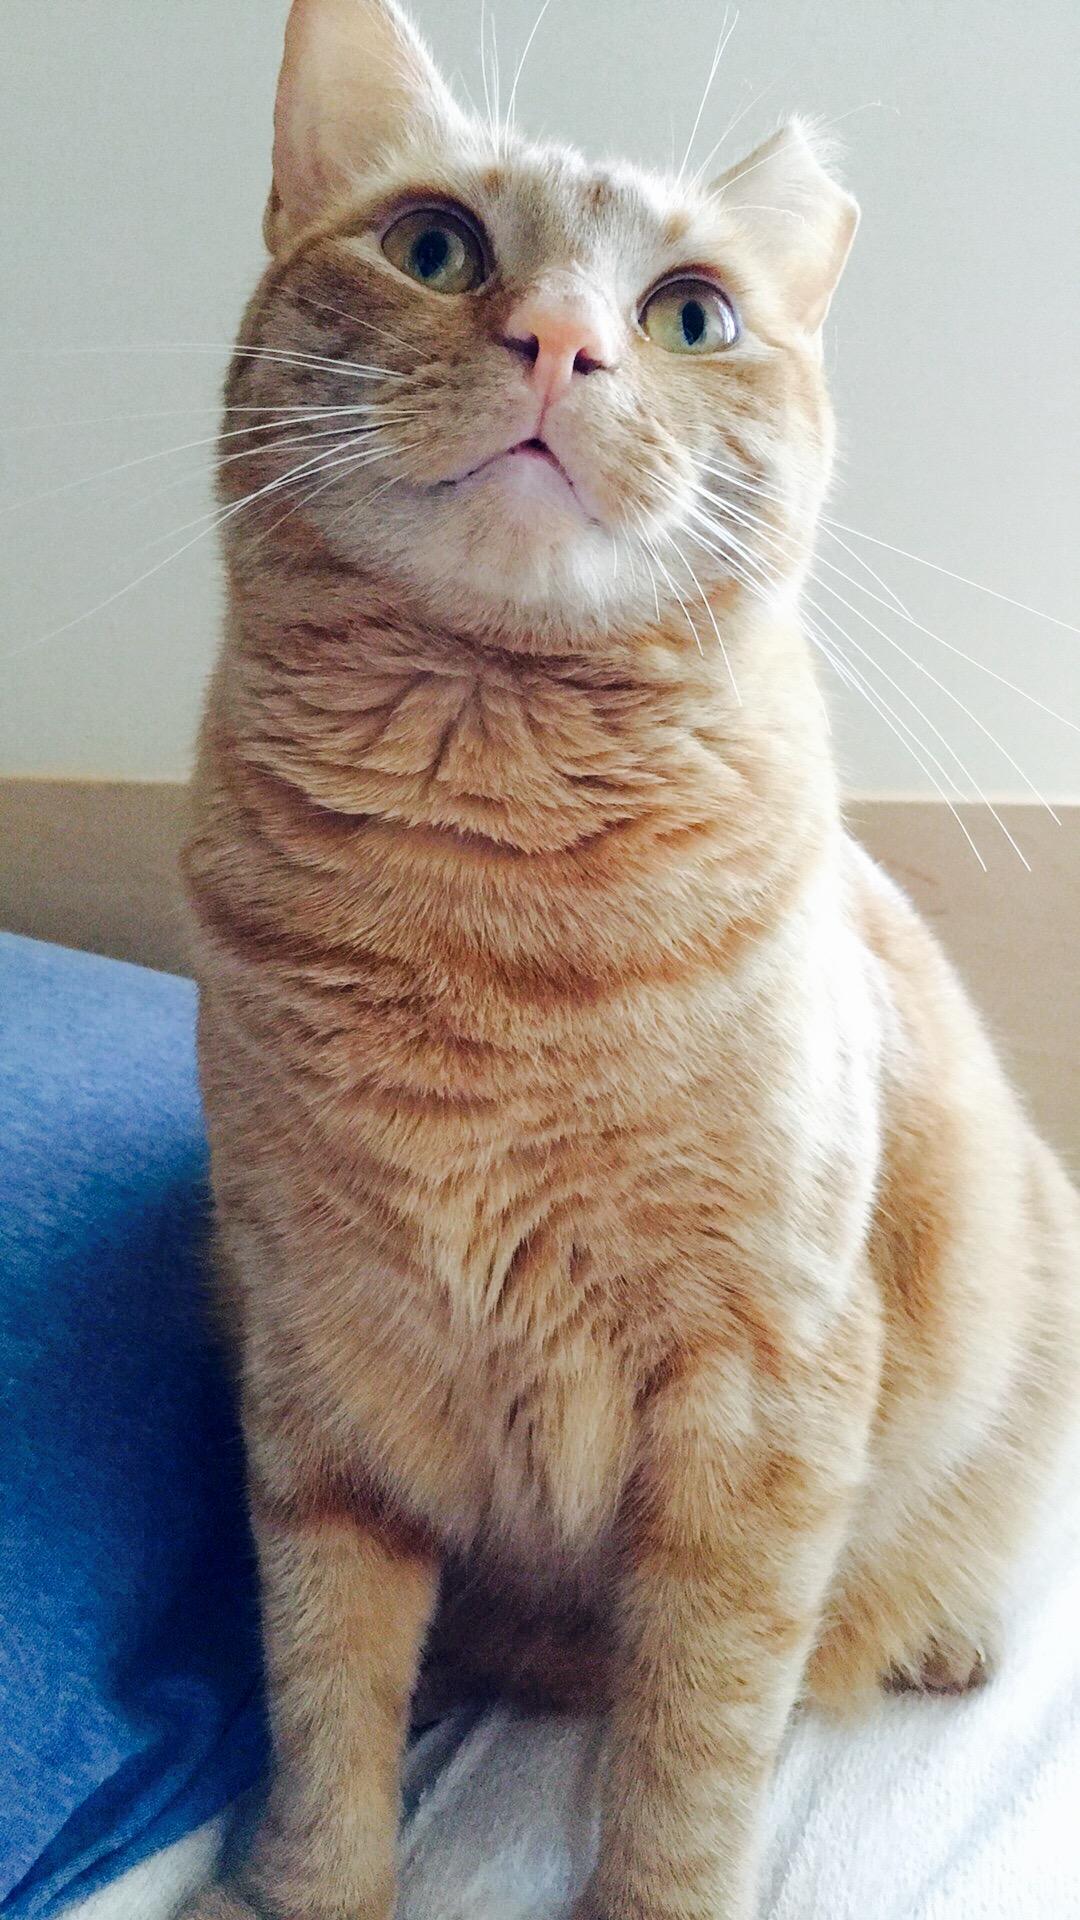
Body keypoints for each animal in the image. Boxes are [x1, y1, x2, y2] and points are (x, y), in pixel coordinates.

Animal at [182, 3, 1076, 1920]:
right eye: (434, 246)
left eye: (691, 316)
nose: (563, 341)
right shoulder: (319, 1379)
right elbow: (326, 1699)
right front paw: (305, 1888)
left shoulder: (761, 1411)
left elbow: (695, 1753)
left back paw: (946, 1638)